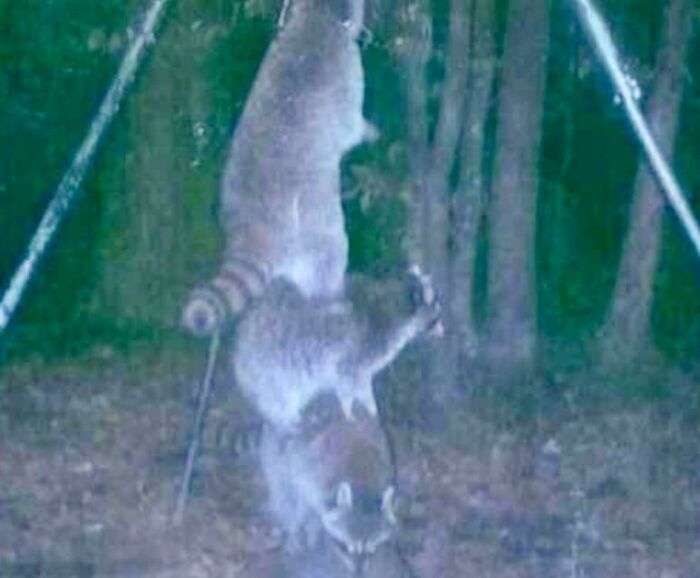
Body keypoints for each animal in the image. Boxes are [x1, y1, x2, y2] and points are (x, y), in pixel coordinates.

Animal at [182, 0, 374, 337]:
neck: (319, 17)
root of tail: (253, 227)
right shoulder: (349, 74)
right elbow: (350, 128)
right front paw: (368, 130)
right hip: (313, 232)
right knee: (329, 256)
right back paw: (332, 299)